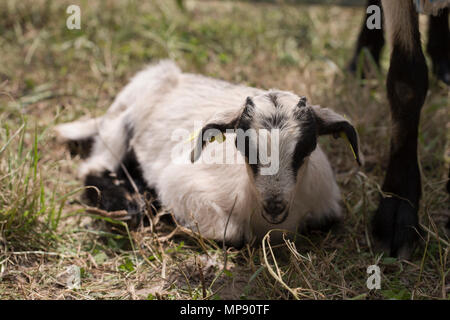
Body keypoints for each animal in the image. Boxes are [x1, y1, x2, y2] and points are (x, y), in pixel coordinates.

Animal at [56, 61, 360, 246]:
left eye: (306, 147)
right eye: (243, 145)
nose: (274, 205)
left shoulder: (327, 207)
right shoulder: (182, 183)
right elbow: (231, 233)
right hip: (126, 115)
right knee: (96, 165)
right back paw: (128, 204)